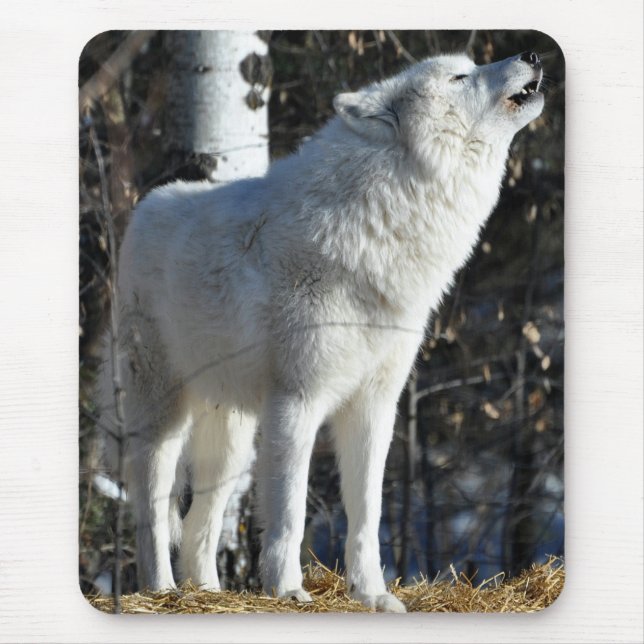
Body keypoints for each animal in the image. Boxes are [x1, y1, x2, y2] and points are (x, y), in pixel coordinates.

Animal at [99, 51, 544, 612]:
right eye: (459, 76)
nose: (532, 55)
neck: (383, 221)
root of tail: (146, 206)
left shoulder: (374, 406)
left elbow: (367, 516)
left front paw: (373, 595)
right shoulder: (298, 401)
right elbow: (290, 513)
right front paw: (288, 590)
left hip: (232, 442)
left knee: (200, 523)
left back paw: (208, 593)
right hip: (163, 420)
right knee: (152, 513)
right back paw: (161, 591)